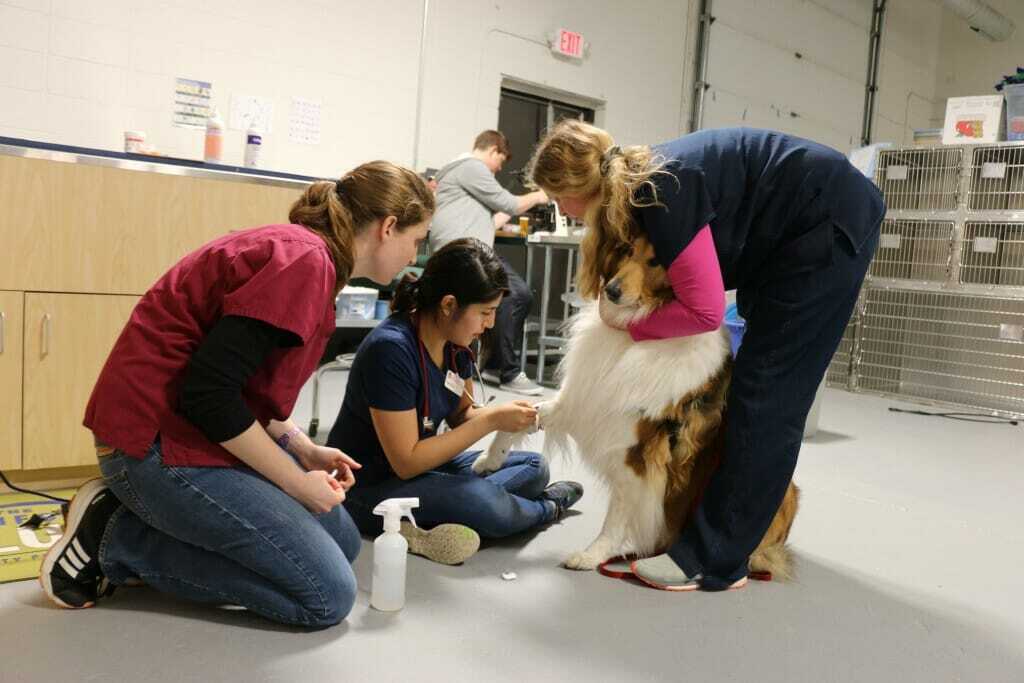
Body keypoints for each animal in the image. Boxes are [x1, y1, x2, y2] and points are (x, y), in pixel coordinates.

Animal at [475, 235, 794, 577]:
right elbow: (524, 417)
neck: (636, 331)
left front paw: (592, 555)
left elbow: (617, 516)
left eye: (657, 260)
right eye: (626, 250)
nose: (612, 291)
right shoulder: (583, 402)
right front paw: (490, 459)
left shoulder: (636, 456)